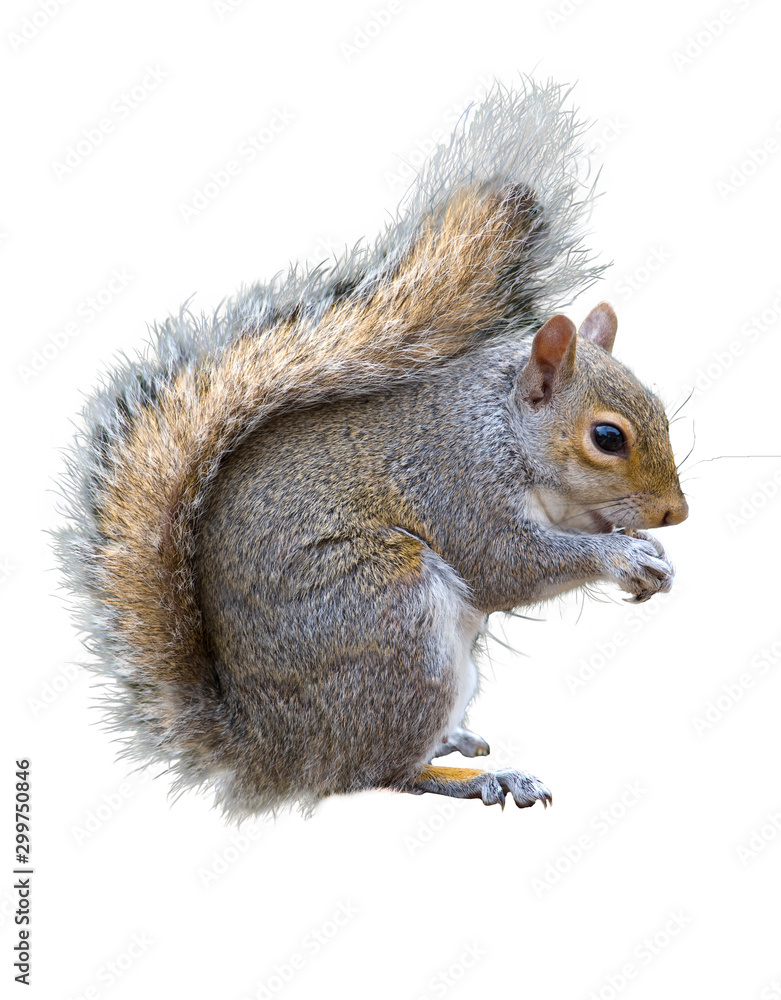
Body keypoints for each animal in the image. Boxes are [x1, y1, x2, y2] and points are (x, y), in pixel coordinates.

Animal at [55, 79, 688, 819]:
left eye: (659, 408)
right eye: (607, 437)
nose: (675, 513)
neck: (502, 428)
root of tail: (272, 750)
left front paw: (652, 555)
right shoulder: (457, 482)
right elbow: (506, 566)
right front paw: (620, 556)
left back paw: (455, 741)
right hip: (391, 612)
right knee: (374, 772)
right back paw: (474, 776)